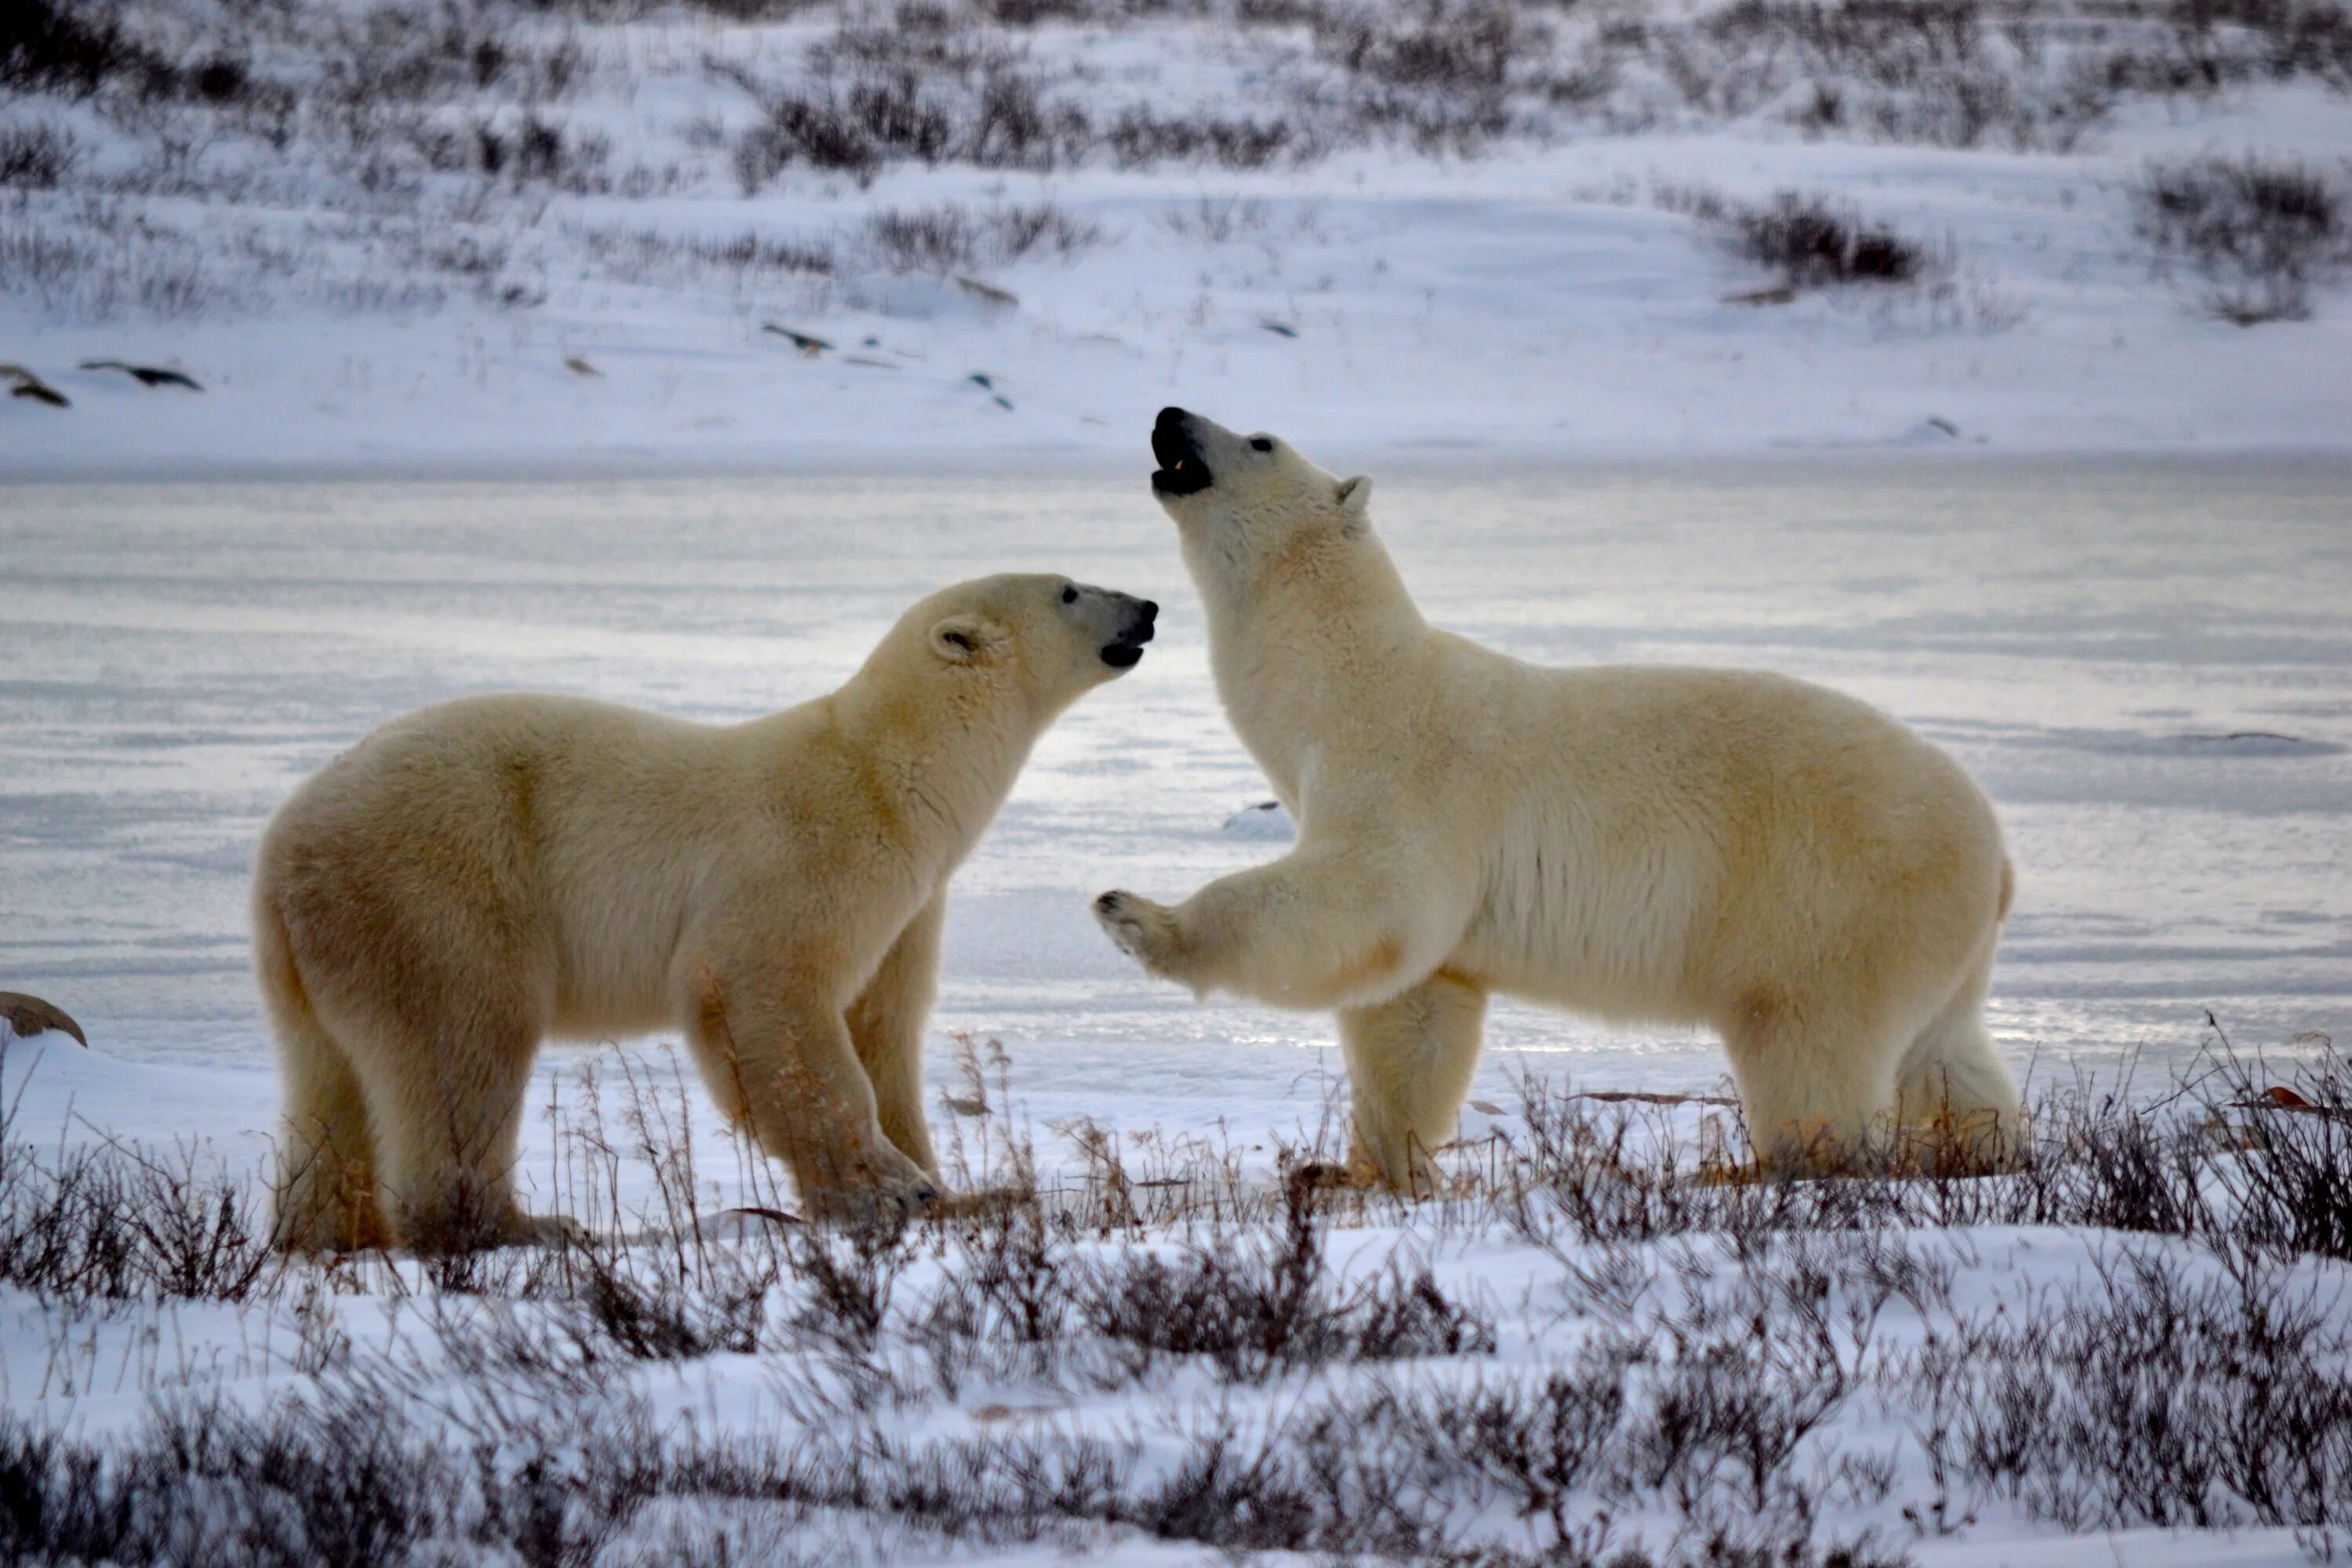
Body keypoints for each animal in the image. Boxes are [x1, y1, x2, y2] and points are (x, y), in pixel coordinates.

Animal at [257, 575, 1157, 1250]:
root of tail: (282, 841)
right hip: (437, 881)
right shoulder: (813, 850)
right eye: (1069, 589)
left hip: (326, 941)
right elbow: (766, 995)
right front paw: (893, 1189)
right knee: (465, 1036)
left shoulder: (912, 903)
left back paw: (330, 1231)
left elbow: (882, 1026)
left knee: (331, 1080)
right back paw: (519, 1226)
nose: (1146, 607)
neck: (889, 769)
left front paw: (964, 1190)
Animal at [1096, 411, 2023, 1194]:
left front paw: (1136, 916)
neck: (1352, 684)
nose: (1170, 415)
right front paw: (1362, 1168)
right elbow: (1414, 1004)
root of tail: (1998, 850)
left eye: (1260, 439)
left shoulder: (1411, 781)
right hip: (1936, 939)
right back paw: (1983, 1150)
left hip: (1835, 898)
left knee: (1808, 1045)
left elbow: (1366, 904)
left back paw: (1762, 1166)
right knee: (1949, 1054)